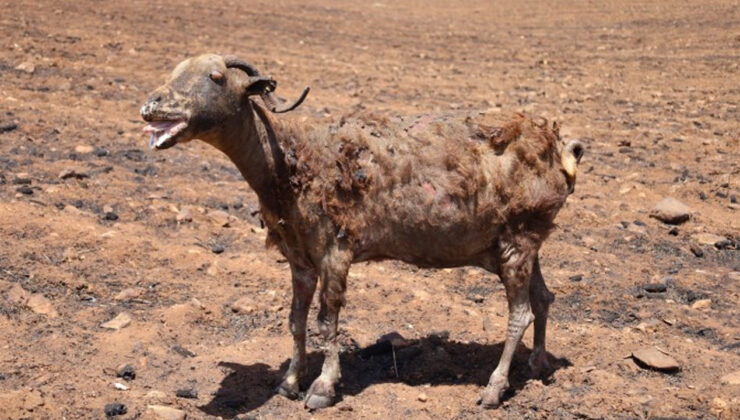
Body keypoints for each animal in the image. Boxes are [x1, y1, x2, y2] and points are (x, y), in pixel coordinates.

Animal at [140, 53, 584, 410]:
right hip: (522, 239)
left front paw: (322, 387)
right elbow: (295, 320)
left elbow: (327, 320)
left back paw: (494, 389)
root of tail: (562, 148)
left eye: (215, 77)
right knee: (543, 298)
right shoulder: (299, 258)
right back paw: (538, 364)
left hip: (518, 238)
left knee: (520, 313)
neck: (292, 161)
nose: (150, 105)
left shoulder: (335, 250)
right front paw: (289, 381)